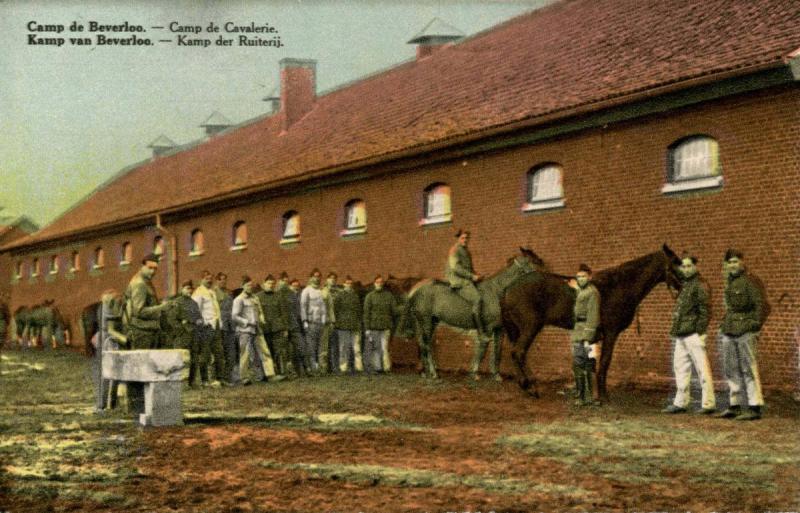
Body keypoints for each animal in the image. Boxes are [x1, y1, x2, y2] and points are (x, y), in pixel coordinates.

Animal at [406, 248, 544, 376]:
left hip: (431, 321)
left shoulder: (499, 329)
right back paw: (433, 373)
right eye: (533, 262)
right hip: (426, 321)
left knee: (423, 344)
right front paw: (474, 372)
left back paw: (426, 372)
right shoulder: (487, 328)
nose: (542, 280)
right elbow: (483, 349)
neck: (496, 291)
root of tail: (416, 290)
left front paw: (496, 374)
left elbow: (497, 351)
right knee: (426, 344)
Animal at [500, 244, 680, 400]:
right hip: (530, 327)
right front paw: (603, 395)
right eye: (676, 264)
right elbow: (605, 361)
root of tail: (508, 288)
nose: (684, 285)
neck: (619, 286)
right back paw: (529, 386)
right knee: (518, 352)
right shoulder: (611, 333)